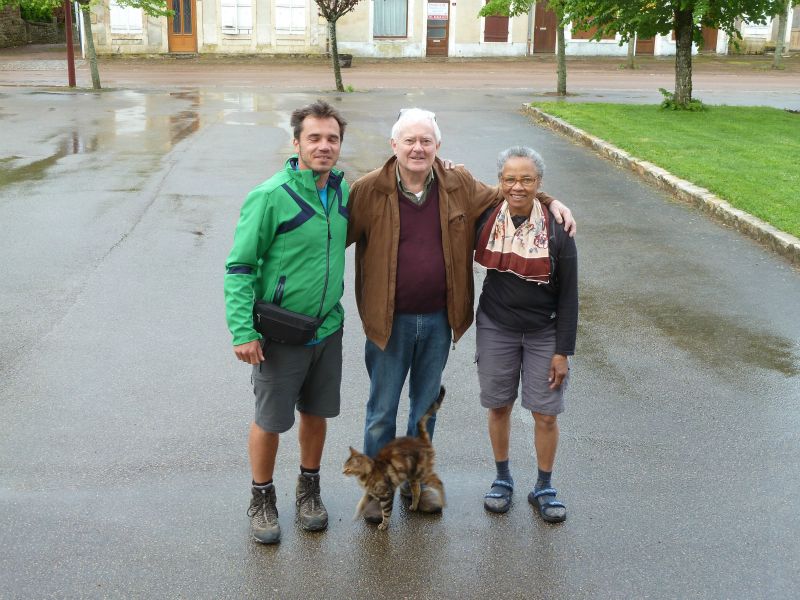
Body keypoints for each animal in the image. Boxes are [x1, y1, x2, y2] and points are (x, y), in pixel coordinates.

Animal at [342, 386, 446, 528]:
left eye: (347, 469)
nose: (342, 472)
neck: (368, 473)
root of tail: (420, 440)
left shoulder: (387, 494)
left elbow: (386, 512)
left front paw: (384, 525)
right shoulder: (369, 493)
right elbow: (361, 504)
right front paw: (356, 516)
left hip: (423, 472)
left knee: (439, 483)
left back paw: (442, 501)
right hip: (413, 475)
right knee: (417, 489)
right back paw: (414, 506)